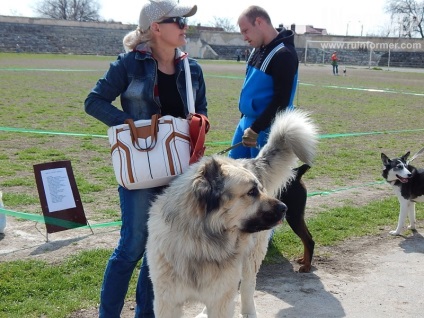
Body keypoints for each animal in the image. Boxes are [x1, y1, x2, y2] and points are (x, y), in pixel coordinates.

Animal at [147, 110, 316, 318]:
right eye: (252, 192)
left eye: (261, 189)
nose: (284, 208)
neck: (201, 242)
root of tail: (250, 162)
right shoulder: (167, 301)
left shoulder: (221, 298)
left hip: (251, 258)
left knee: (248, 287)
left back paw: (249, 312)